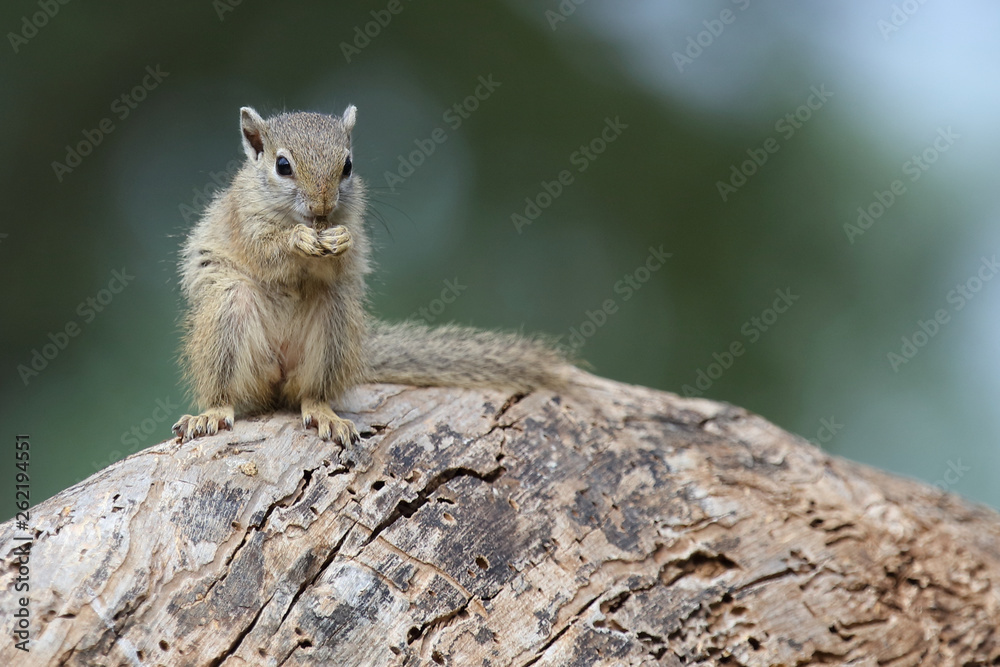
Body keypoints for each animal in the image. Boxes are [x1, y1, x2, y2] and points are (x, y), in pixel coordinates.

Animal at [172, 105, 567, 446]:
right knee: (226, 389)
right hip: (226, 314)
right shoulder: (245, 221)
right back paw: (212, 412)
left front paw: (341, 240)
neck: (306, 220)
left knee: (310, 394)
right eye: (282, 165)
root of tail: (278, 373)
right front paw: (296, 239)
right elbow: (267, 251)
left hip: (334, 323)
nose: (322, 205)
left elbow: (343, 256)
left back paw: (324, 413)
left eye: (348, 165)